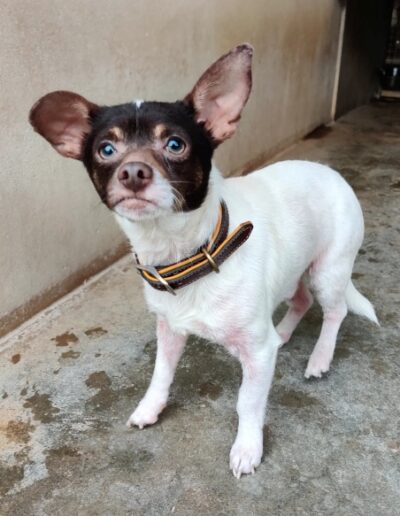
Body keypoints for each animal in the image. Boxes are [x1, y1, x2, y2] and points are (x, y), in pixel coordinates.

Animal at [29, 44, 378, 478]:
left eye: (175, 144)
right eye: (106, 150)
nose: (133, 172)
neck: (188, 252)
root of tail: (332, 173)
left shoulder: (256, 353)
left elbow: (248, 401)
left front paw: (248, 447)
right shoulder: (169, 329)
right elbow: (160, 373)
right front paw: (150, 408)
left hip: (329, 271)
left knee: (335, 311)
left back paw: (320, 358)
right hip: (296, 272)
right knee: (302, 300)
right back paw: (283, 333)